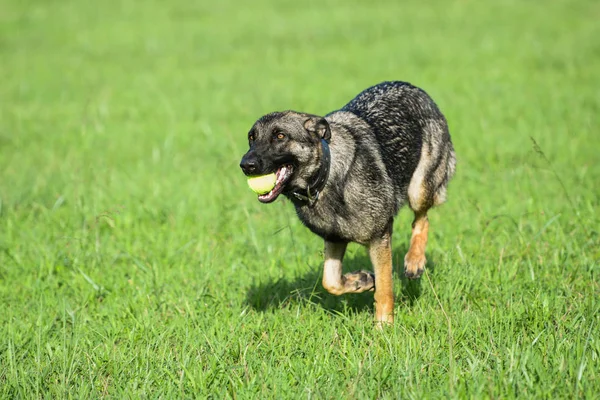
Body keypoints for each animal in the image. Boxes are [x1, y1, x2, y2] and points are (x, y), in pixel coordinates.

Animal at [239, 81, 454, 324]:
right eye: (252, 138)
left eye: (280, 136)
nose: (245, 165)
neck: (327, 176)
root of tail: (413, 87)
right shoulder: (334, 239)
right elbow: (330, 282)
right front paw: (361, 281)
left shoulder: (380, 237)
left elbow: (384, 288)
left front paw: (384, 326)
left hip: (419, 189)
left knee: (422, 219)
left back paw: (415, 261)